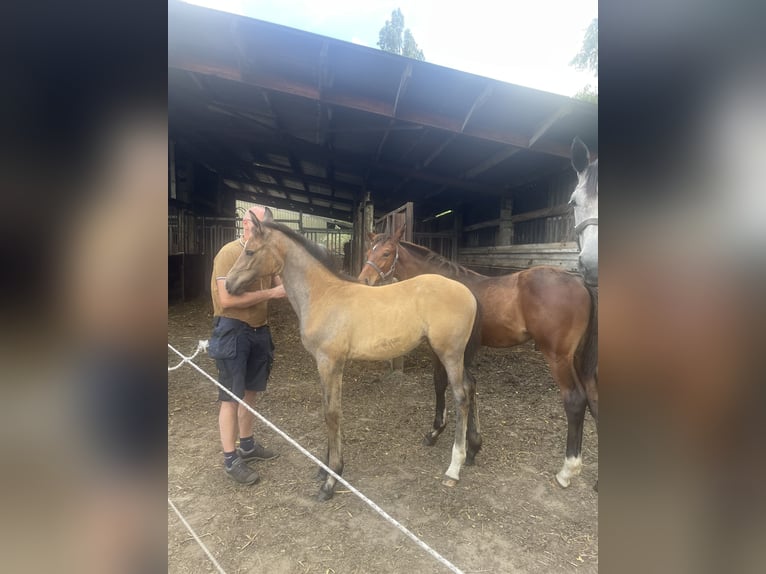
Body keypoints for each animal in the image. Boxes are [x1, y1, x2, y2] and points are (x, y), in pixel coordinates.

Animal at [226, 214, 482, 501]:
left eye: (250, 251)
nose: (228, 284)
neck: (323, 295)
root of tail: (468, 292)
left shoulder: (330, 363)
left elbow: (332, 413)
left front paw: (331, 480)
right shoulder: (326, 364)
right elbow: (328, 409)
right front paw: (325, 469)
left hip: (450, 353)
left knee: (461, 396)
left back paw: (454, 467)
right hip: (454, 354)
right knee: (470, 386)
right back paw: (473, 449)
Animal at [359, 227, 598, 489]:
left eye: (386, 253)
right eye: (368, 252)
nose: (363, 280)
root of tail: (580, 283)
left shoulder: (441, 350)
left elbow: (442, 384)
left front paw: (436, 433)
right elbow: (470, 387)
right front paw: (473, 447)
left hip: (559, 357)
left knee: (575, 401)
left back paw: (567, 471)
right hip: (579, 359)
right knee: (593, 399)